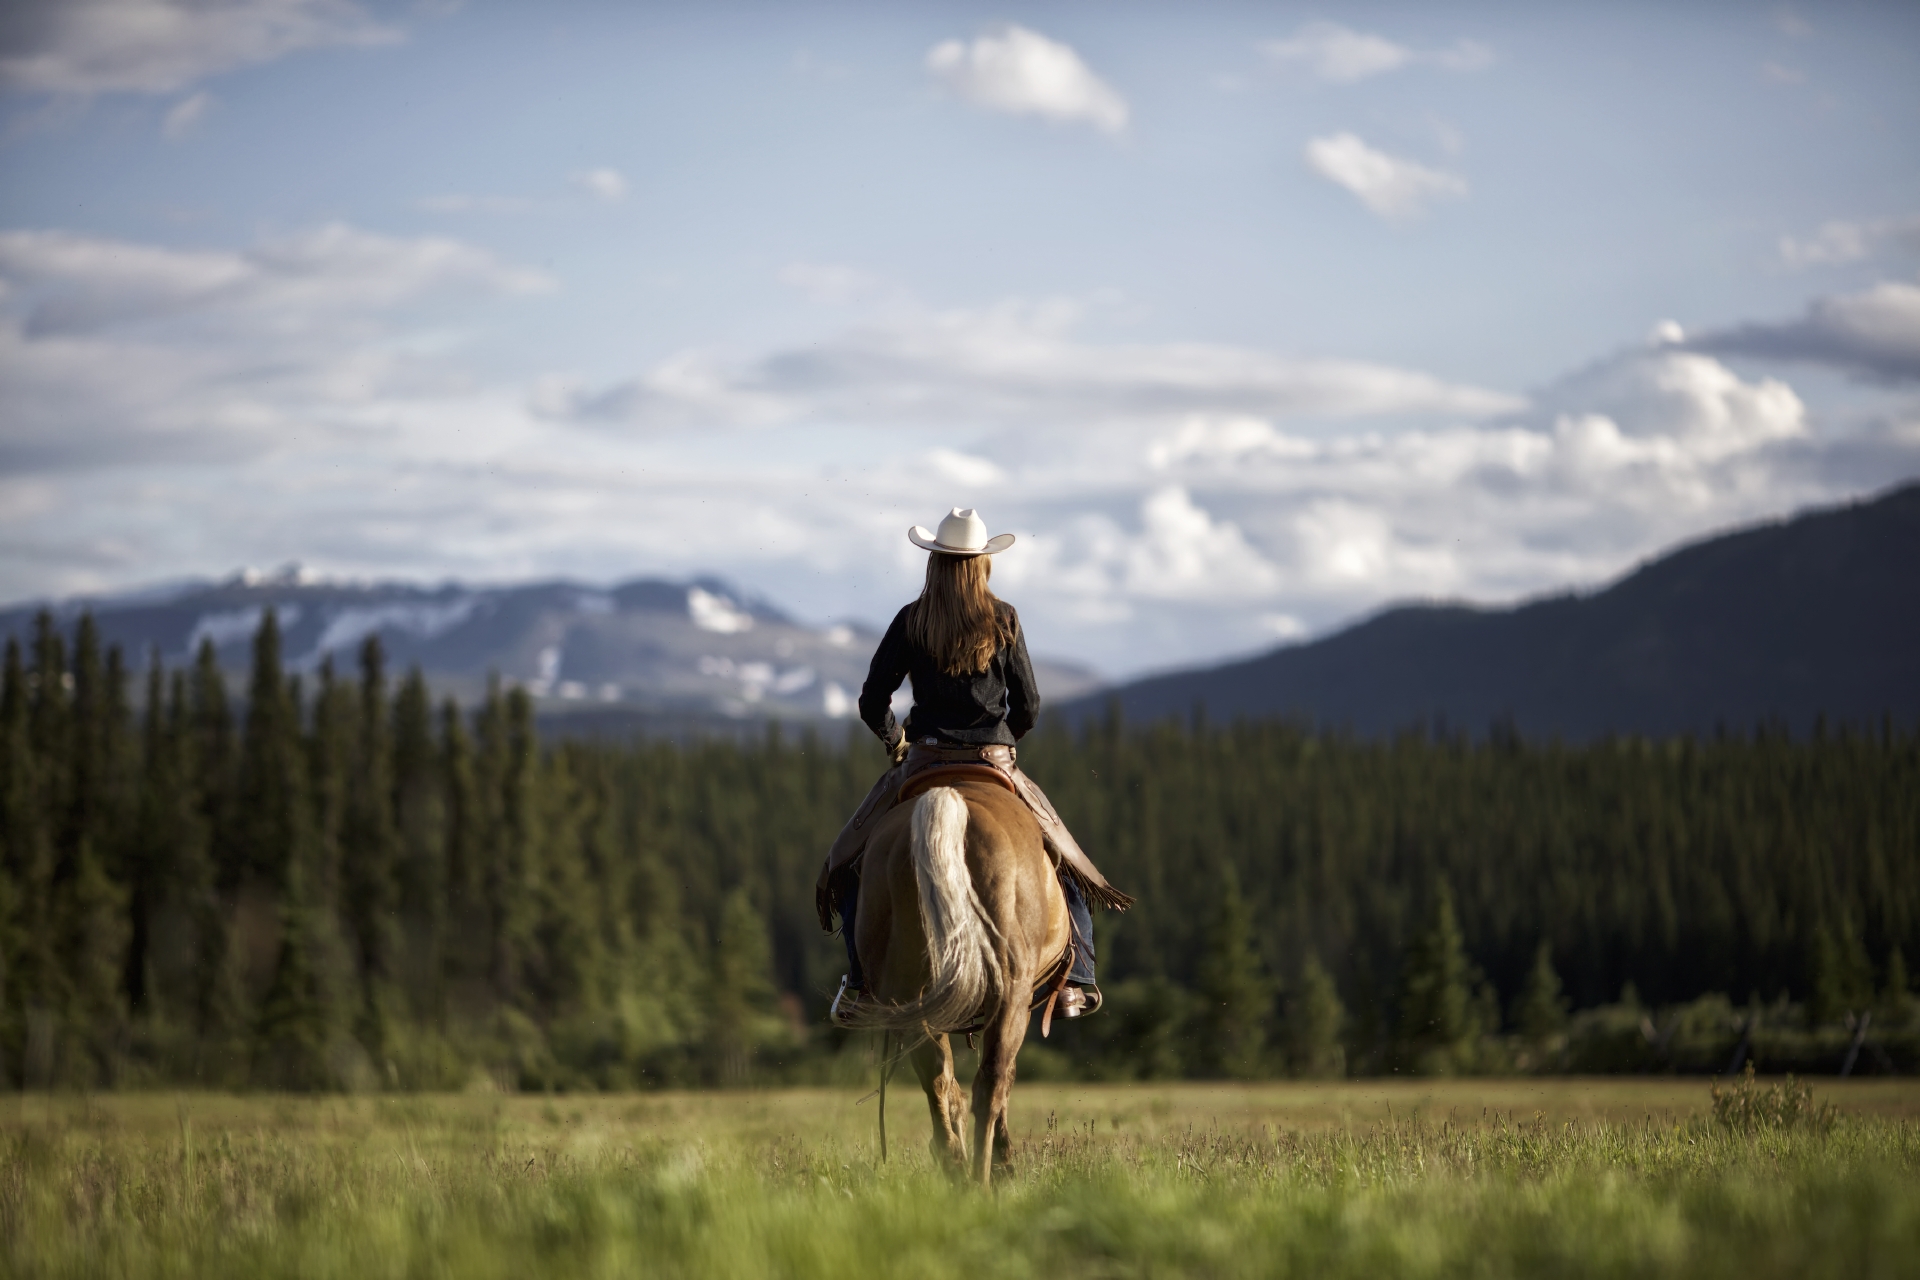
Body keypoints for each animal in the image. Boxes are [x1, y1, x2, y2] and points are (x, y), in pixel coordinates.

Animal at [840, 775, 1082, 1189]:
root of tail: (948, 801)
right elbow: (1005, 1075)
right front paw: (1005, 1162)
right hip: (1009, 992)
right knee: (990, 1082)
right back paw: (983, 1179)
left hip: (910, 996)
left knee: (938, 1078)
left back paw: (954, 1166)